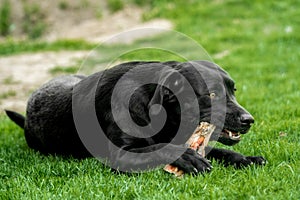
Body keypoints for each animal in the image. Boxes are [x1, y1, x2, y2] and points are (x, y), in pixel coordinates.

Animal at [5, 60, 266, 173]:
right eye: (211, 94)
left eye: (233, 90)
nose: (249, 120)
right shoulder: (121, 154)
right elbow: (159, 148)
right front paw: (188, 158)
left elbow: (222, 151)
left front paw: (245, 158)